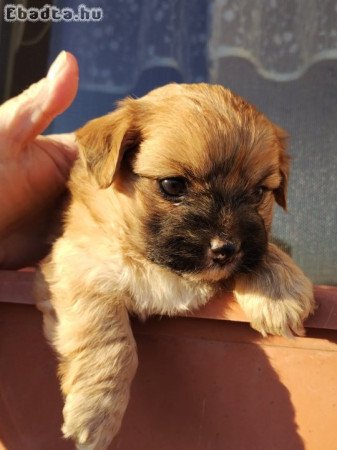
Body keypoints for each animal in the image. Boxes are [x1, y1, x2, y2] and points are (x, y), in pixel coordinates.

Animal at [36, 84, 316, 450]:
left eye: (258, 193)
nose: (226, 249)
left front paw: (280, 291)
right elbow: (108, 337)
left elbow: (264, 246)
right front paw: (96, 410)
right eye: (172, 185)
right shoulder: (77, 264)